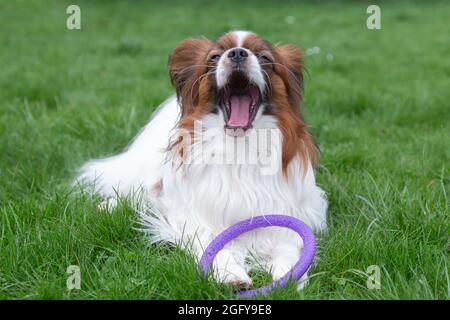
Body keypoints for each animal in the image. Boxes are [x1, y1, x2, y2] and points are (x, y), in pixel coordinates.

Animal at [75, 30, 326, 288]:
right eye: (214, 56)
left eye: (264, 57)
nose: (237, 53)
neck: (239, 146)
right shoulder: (195, 220)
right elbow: (215, 246)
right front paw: (231, 274)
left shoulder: (285, 215)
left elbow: (289, 246)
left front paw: (290, 275)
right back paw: (109, 205)